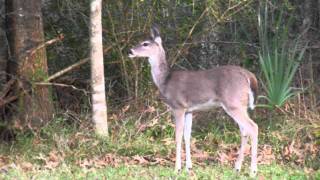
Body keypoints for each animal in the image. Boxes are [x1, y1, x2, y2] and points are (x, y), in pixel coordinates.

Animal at [129, 26, 258, 176]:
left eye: (145, 43)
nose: (130, 51)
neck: (165, 81)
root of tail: (249, 76)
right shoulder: (189, 110)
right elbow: (187, 136)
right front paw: (188, 167)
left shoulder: (178, 106)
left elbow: (178, 136)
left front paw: (177, 168)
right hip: (240, 105)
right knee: (244, 130)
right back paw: (237, 168)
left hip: (233, 103)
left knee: (253, 127)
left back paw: (253, 171)